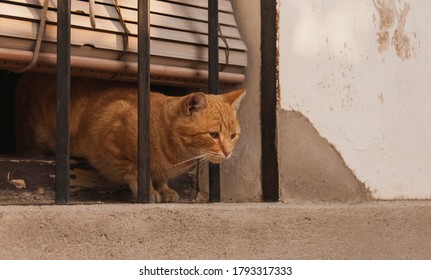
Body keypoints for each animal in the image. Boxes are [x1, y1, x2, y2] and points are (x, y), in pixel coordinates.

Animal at [15, 73, 245, 202]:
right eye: (213, 135)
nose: (227, 152)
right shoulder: (112, 141)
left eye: (233, 135)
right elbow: (136, 172)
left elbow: (160, 177)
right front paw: (149, 192)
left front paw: (165, 190)